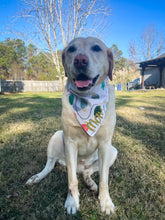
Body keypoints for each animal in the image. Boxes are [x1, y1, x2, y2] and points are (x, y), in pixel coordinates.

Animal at [26, 36, 117, 215]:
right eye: (71, 49)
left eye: (97, 48)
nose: (80, 60)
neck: (87, 99)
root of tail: (81, 167)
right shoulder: (70, 142)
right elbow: (71, 180)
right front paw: (72, 201)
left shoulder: (105, 144)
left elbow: (104, 180)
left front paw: (106, 202)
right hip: (56, 137)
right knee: (51, 165)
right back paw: (37, 177)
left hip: (112, 151)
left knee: (88, 172)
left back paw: (91, 183)